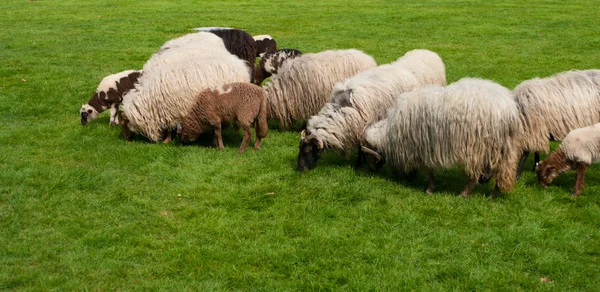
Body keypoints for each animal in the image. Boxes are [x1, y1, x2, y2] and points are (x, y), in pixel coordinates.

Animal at [119, 53, 251, 144]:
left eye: (124, 124)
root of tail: (241, 65)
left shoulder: (172, 110)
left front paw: (167, 140)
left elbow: (169, 128)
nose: (126, 139)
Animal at [296, 48, 446, 171]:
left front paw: (358, 165)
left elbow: (361, 149)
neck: (341, 109)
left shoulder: (362, 128)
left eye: (308, 150)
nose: (300, 169)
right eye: (299, 148)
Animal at [358, 77, 524, 197]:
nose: (372, 171)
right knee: (502, 170)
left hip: (477, 147)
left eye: (367, 155)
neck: (389, 133)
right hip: (503, 146)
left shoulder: (422, 147)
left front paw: (429, 189)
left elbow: (429, 170)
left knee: (476, 174)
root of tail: (508, 109)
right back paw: (494, 194)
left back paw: (464, 194)